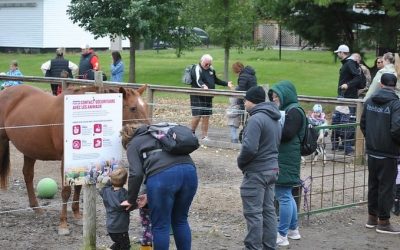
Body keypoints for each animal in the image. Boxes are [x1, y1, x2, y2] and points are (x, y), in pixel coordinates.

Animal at [0, 84, 149, 234]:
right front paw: (63, 224)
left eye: (146, 106)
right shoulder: (65, 161)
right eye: (133, 108)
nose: (146, 129)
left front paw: (77, 214)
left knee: (28, 175)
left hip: (30, 149)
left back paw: (36, 208)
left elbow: (78, 186)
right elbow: (66, 191)